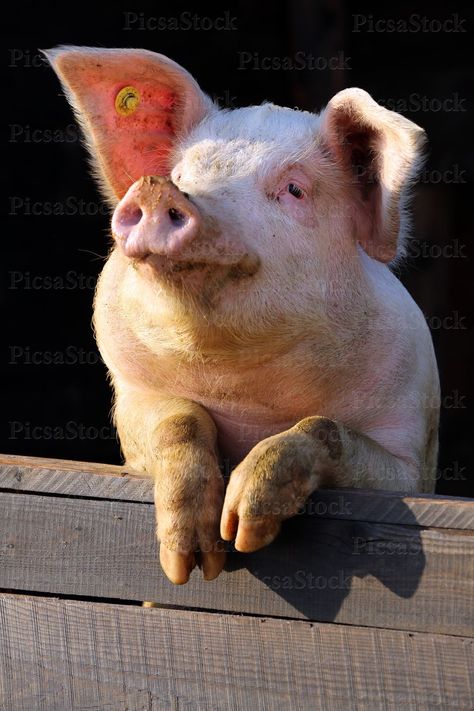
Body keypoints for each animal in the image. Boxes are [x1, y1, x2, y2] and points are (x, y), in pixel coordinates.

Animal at [45, 48, 440, 584]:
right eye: (183, 175)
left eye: (294, 189)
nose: (158, 190)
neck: (243, 386)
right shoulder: (132, 395)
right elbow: (179, 420)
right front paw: (190, 565)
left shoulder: (409, 451)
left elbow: (322, 426)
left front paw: (243, 530)